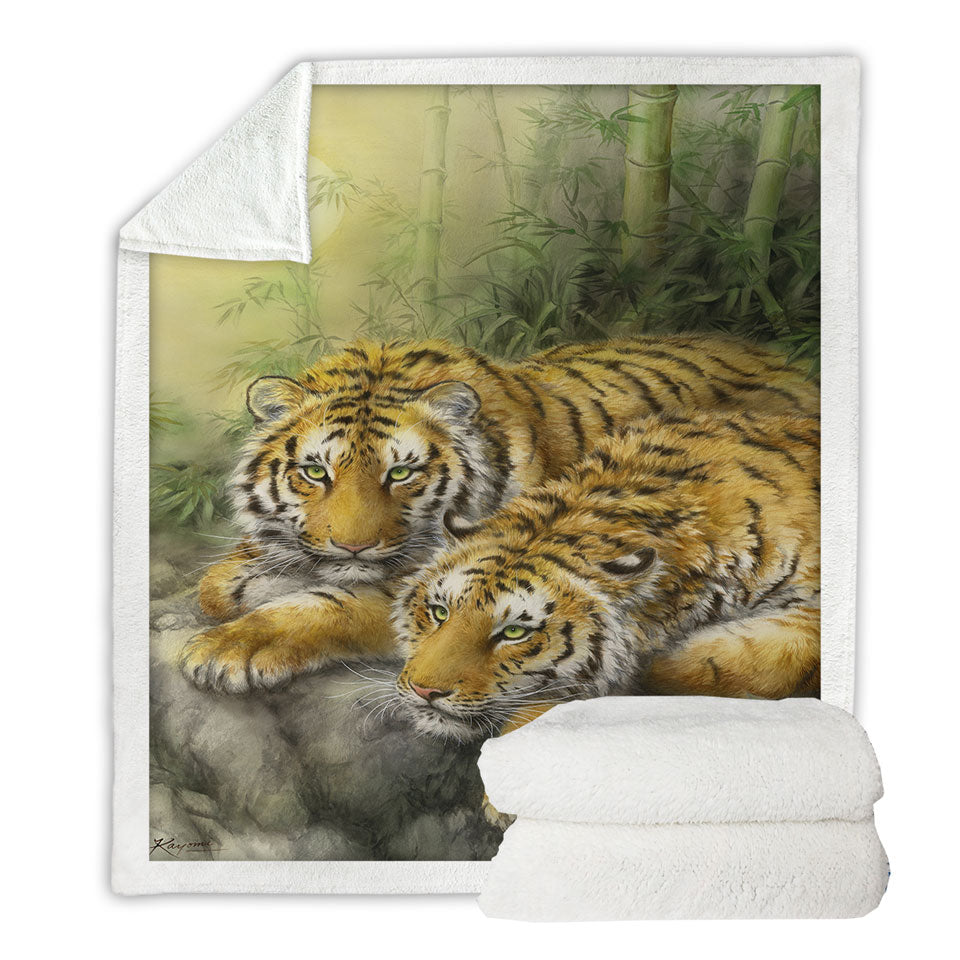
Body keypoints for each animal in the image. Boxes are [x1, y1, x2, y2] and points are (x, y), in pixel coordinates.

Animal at [181, 337, 819, 694]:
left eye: (401, 474)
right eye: (316, 472)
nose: (352, 548)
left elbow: (331, 606)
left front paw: (227, 649)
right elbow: (217, 585)